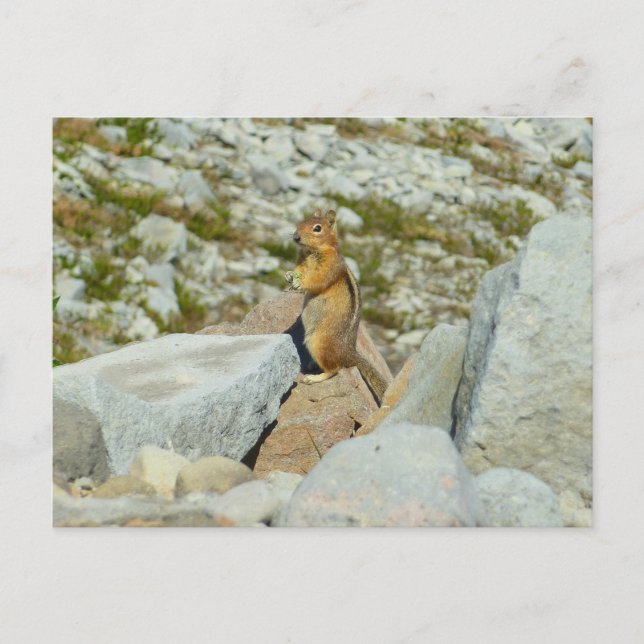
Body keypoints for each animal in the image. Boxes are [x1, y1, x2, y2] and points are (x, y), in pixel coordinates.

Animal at [285, 208, 388, 404]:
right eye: (301, 222)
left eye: (317, 228)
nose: (295, 237)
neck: (312, 252)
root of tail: (350, 353)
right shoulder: (301, 262)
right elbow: (298, 270)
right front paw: (289, 274)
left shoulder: (328, 267)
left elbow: (316, 281)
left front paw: (300, 284)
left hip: (318, 341)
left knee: (335, 369)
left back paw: (314, 378)